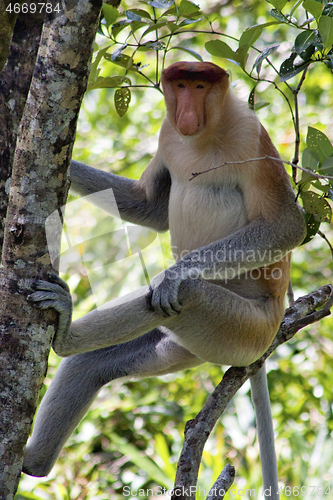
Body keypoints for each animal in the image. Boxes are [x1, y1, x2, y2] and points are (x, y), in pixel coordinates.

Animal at [22, 60, 304, 494]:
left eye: (201, 86)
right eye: (181, 85)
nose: (186, 113)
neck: (204, 135)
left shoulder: (249, 134)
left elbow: (287, 225)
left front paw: (173, 274)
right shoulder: (168, 135)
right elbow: (151, 205)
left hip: (242, 331)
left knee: (186, 297)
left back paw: (66, 332)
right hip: (184, 347)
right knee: (93, 363)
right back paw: (33, 461)